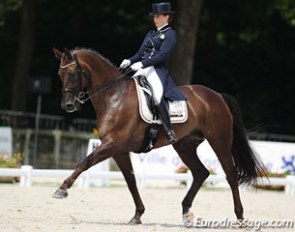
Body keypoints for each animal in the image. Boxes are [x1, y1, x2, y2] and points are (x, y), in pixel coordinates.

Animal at [52, 46, 266, 225]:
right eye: (60, 74)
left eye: (74, 73)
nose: (68, 105)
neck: (114, 96)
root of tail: (217, 95)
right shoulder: (118, 150)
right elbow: (130, 180)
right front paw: (137, 215)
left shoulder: (113, 144)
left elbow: (84, 162)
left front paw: (62, 189)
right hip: (185, 145)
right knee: (200, 172)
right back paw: (186, 213)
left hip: (219, 141)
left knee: (230, 174)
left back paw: (240, 217)